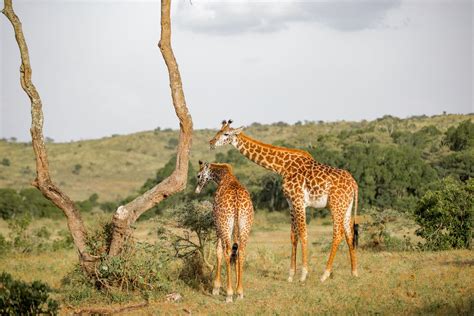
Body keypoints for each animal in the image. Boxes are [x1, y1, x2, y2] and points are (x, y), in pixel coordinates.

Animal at [195, 160, 254, 302]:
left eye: (198, 175)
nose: (197, 190)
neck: (223, 177)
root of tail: (237, 201)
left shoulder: (217, 225)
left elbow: (218, 251)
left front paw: (216, 288)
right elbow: (235, 252)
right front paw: (238, 290)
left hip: (225, 225)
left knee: (227, 251)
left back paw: (228, 294)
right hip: (245, 225)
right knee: (241, 251)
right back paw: (240, 292)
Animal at [209, 119, 358, 282]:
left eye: (226, 134)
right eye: (218, 131)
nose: (211, 142)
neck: (282, 167)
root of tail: (354, 184)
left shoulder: (299, 201)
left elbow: (304, 233)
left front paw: (303, 274)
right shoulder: (290, 203)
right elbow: (293, 236)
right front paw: (291, 275)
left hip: (335, 206)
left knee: (337, 234)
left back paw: (325, 274)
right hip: (346, 207)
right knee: (349, 234)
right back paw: (353, 272)